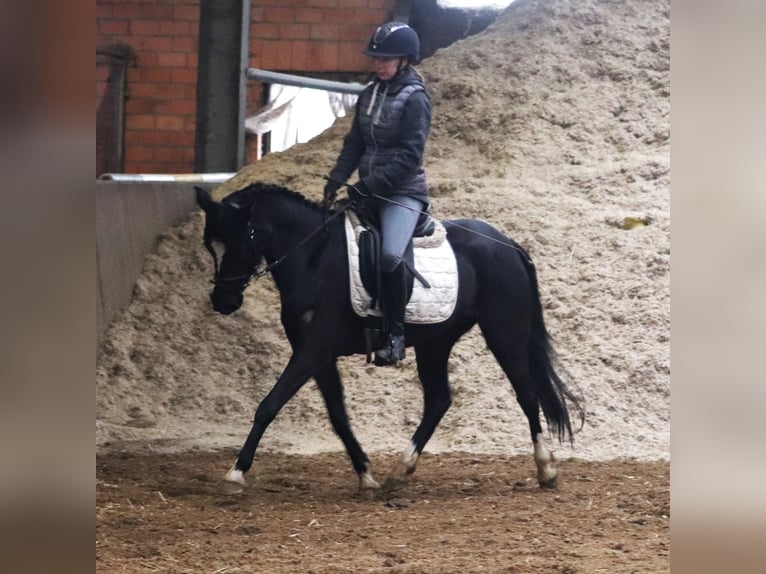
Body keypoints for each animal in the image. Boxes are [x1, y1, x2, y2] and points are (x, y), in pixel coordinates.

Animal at [195, 184, 584, 496]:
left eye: (240, 243)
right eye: (210, 246)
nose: (223, 301)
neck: (314, 257)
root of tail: (508, 244)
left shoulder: (313, 350)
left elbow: (269, 405)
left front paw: (235, 474)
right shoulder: (318, 355)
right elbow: (338, 416)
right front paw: (366, 476)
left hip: (504, 332)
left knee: (526, 393)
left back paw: (546, 469)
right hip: (435, 343)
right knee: (438, 401)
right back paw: (400, 472)